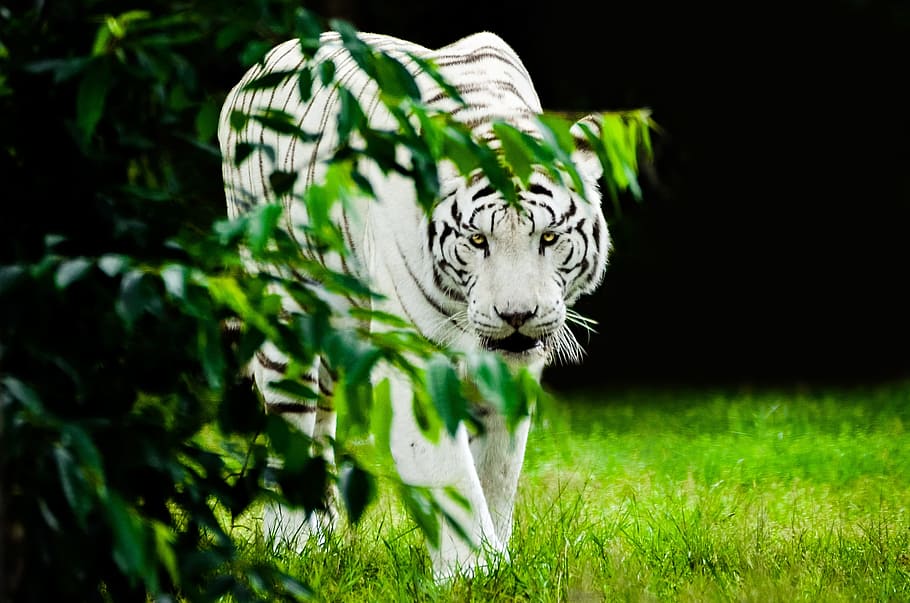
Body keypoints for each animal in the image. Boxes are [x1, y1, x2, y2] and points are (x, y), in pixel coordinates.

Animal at [218, 30, 610, 580]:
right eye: (477, 240)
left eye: (548, 237)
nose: (516, 317)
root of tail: (264, 60)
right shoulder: (417, 360)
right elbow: (449, 471)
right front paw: (472, 572)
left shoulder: (513, 370)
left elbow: (498, 468)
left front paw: (497, 563)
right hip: (284, 309)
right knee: (290, 419)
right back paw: (289, 543)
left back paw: (321, 541)